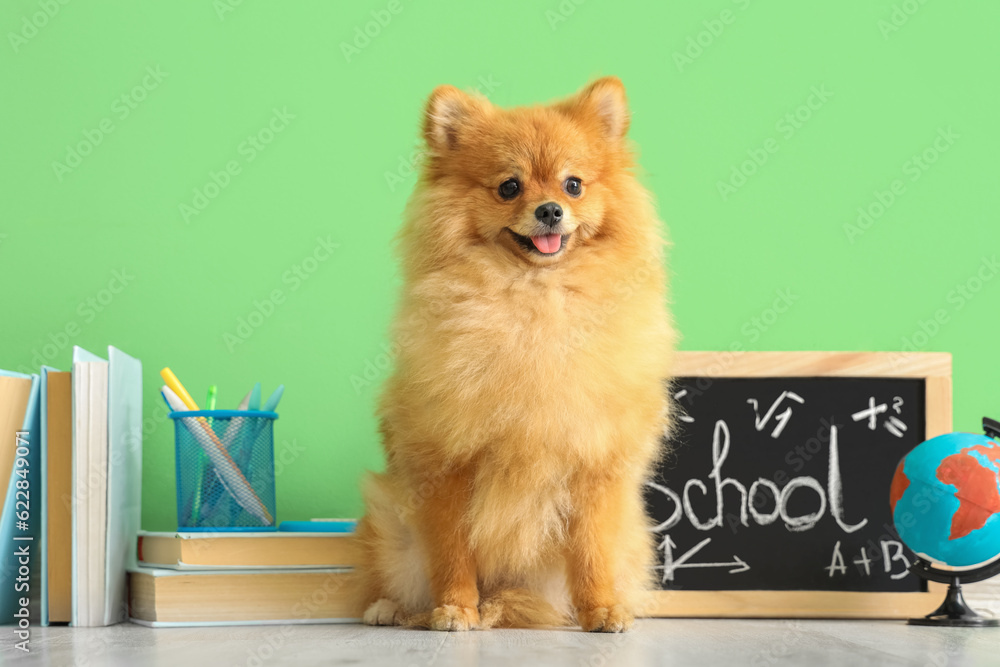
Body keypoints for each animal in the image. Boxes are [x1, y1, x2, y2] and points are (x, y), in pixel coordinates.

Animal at [356, 77, 676, 632]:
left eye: (573, 185)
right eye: (509, 187)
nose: (549, 210)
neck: (534, 302)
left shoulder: (595, 463)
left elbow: (593, 552)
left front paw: (600, 609)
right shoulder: (448, 463)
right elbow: (452, 551)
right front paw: (455, 608)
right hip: (392, 526)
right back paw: (393, 609)